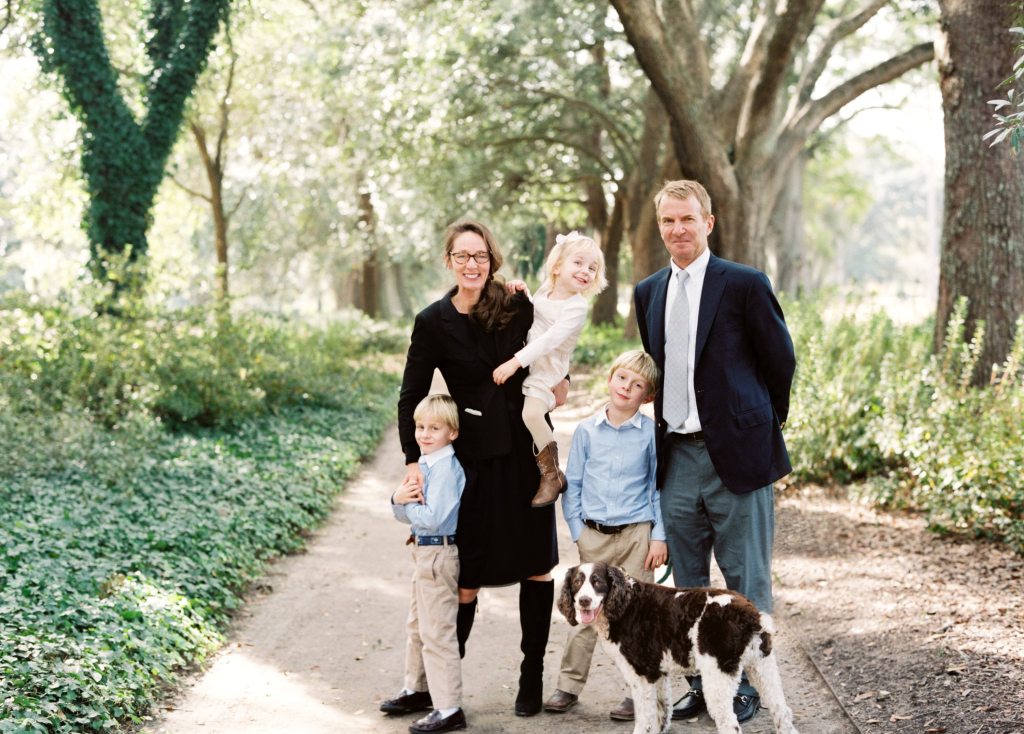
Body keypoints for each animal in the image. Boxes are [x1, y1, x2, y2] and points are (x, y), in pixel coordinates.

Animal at [561, 565, 798, 728]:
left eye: (597, 582)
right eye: (576, 582)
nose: (583, 601)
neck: (625, 604)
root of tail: (751, 614)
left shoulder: (641, 675)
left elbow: (645, 721)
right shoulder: (657, 674)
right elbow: (661, 716)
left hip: (718, 676)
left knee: (729, 723)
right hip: (763, 667)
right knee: (782, 711)